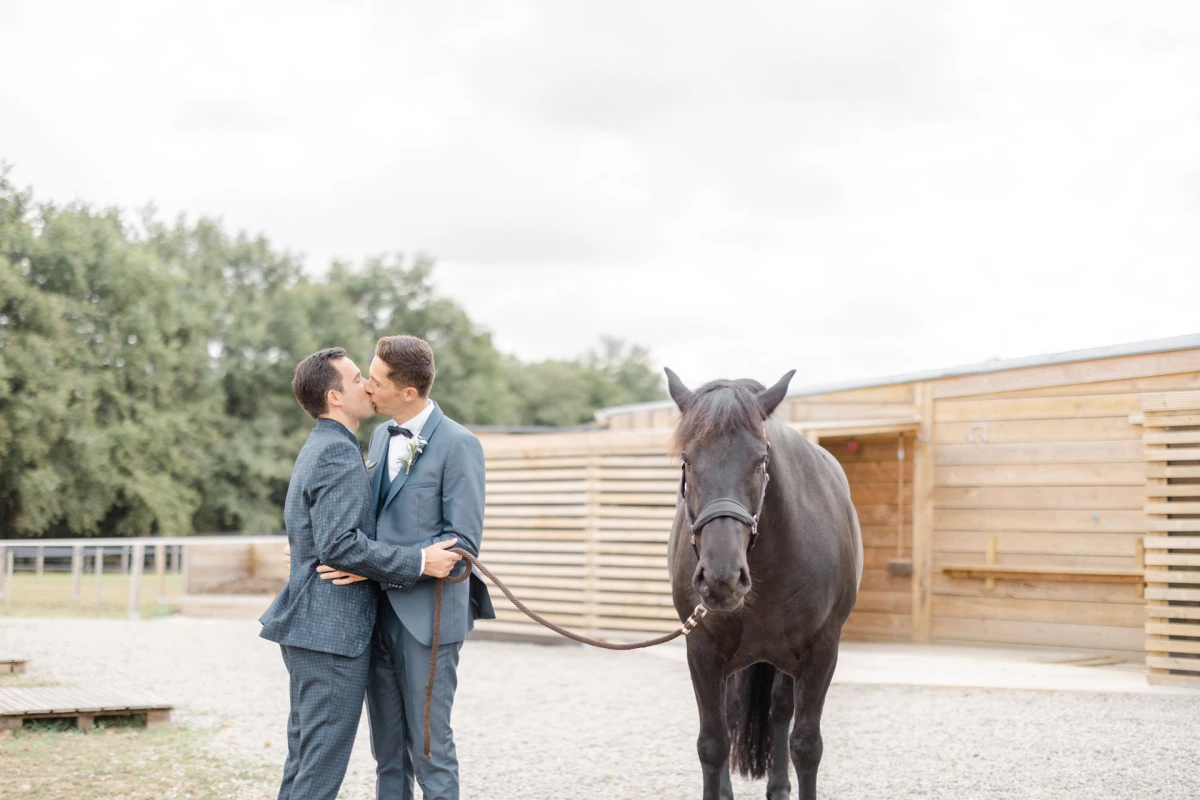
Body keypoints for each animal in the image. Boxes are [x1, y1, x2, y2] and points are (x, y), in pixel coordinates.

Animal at [664, 368, 862, 800]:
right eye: (687, 460)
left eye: (761, 460)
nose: (721, 577)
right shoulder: (701, 649)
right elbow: (713, 742)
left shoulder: (822, 651)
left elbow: (806, 745)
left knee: (780, 711)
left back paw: (779, 786)